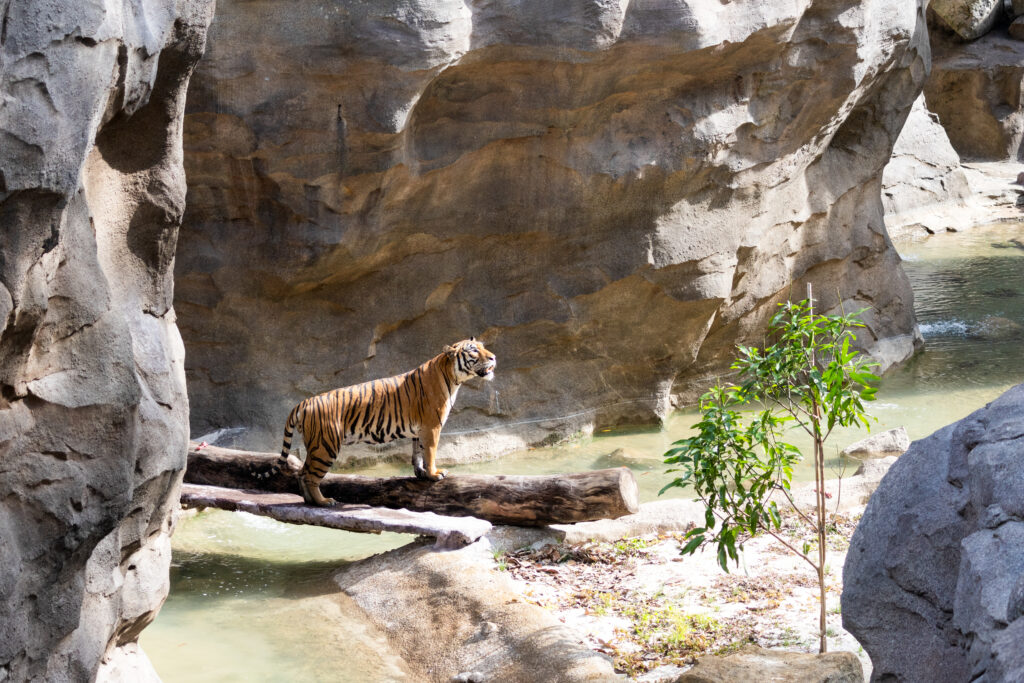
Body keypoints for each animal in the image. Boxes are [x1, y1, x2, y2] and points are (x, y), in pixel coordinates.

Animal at [272, 337, 495, 507]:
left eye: (483, 346)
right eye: (474, 350)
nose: (494, 357)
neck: (452, 377)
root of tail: (305, 402)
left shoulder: (420, 430)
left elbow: (418, 453)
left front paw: (421, 473)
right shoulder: (432, 427)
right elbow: (430, 452)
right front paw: (434, 474)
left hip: (316, 446)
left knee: (301, 473)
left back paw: (310, 501)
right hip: (326, 447)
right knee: (310, 476)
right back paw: (324, 501)